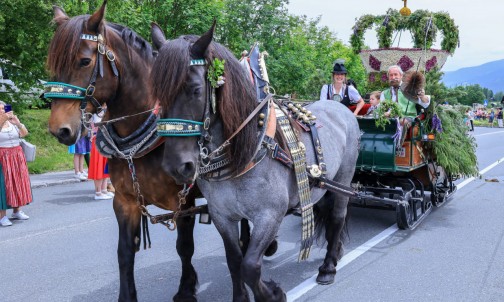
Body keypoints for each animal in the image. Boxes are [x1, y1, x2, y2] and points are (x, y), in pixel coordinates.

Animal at [44, 1, 199, 300]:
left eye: (84, 61)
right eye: (53, 64)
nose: (60, 129)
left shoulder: (184, 201)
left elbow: (184, 247)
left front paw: (186, 289)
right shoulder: (125, 201)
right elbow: (125, 254)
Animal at [149, 22, 358, 300]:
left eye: (195, 90)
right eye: (157, 94)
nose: (177, 167)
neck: (244, 152)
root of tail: (341, 109)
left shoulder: (269, 215)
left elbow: (250, 266)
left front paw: (272, 294)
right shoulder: (222, 215)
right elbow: (235, 261)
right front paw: (242, 296)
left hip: (344, 178)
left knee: (337, 217)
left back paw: (328, 266)